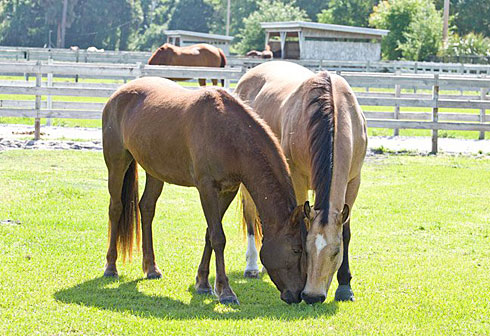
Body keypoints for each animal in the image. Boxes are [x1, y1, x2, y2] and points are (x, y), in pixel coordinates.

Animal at [102, 75, 310, 304]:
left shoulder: (228, 190)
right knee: (116, 208)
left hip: (155, 171)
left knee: (146, 208)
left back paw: (151, 268)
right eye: (296, 249)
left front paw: (203, 283)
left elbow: (209, 234)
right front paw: (225, 291)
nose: (298, 294)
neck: (228, 134)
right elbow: (218, 237)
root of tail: (118, 94)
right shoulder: (206, 188)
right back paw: (111, 267)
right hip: (117, 162)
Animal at [234, 60, 368, 304]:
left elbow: (345, 232)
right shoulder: (297, 178)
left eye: (336, 251)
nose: (313, 296)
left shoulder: (354, 181)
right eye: (304, 250)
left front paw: (345, 286)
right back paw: (252, 266)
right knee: (250, 217)